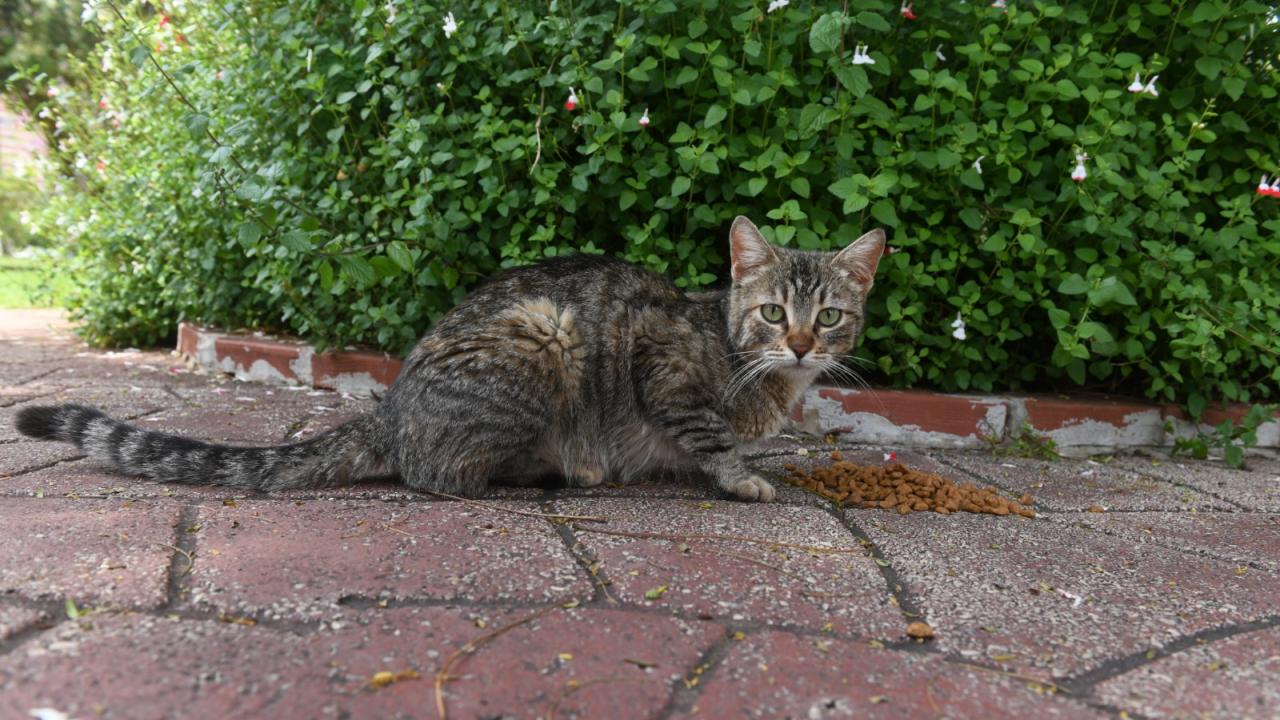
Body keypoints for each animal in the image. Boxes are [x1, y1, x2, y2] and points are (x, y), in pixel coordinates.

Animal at [15, 215, 885, 502]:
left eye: (829, 318)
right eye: (772, 313)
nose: (802, 343)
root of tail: (393, 410)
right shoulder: (658, 362)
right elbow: (707, 434)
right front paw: (742, 475)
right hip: (544, 338)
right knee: (437, 475)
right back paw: (552, 472)